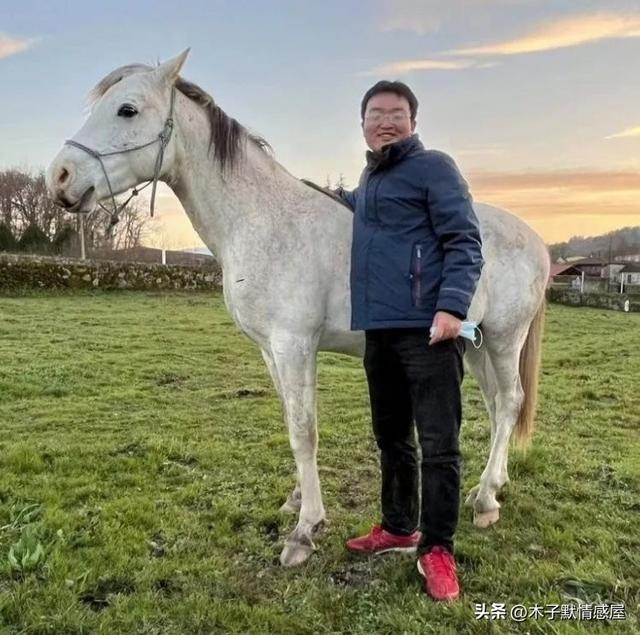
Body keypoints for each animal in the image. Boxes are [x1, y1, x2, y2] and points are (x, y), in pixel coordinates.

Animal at [47, 49, 552, 568]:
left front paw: (305, 529)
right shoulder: (271, 350)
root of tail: (537, 241)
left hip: (503, 339)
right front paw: (295, 498)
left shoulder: (294, 346)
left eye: (127, 109)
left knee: (509, 402)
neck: (263, 220)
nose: (59, 177)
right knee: (497, 405)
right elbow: (291, 422)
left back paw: (486, 499)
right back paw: (491, 485)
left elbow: (304, 430)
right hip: (474, 346)